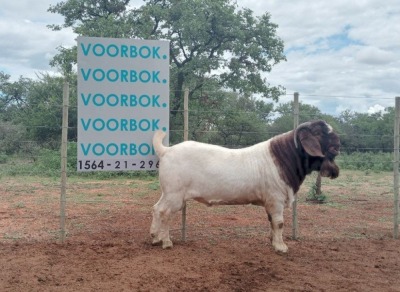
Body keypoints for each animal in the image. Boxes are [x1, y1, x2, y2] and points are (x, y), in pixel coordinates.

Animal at [150, 120, 340, 252]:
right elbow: (279, 223)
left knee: (156, 208)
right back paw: (166, 242)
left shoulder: (270, 202)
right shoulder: (276, 199)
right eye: (318, 132)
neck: (283, 158)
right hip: (175, 194)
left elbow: (271, 222)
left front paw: (273, 242)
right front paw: (281, 247)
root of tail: (166, 150)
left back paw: (155, 237)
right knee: (164, 212)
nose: (338, 143)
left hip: (168, 192)